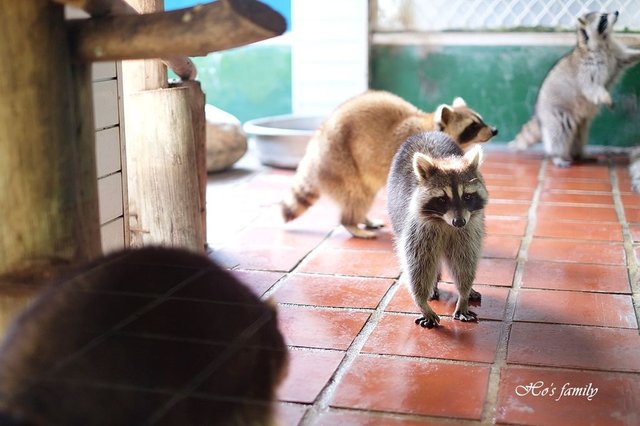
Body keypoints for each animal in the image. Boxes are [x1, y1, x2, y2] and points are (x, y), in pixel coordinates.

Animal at [282, 89, 500, 240]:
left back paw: (362, 219)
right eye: (473, 126)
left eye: (481, 120)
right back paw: (351, 223)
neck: (432, 125)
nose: (495, 130)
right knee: (357, 195)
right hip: (341, 162)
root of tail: (317, 142)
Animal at [388, 131, 488, 328]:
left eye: (467, 196)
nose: (459, 222)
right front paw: (421, 302)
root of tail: (427, 132)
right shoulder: (417, 228)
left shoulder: (468, 231)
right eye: (442, 199)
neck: (445, 223)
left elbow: (465, 260)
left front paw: (464, 294)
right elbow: (417, 263)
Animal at [512, 11, 640, 168]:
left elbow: (627, 57)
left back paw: (580, 154)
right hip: (556, 114)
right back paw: (557, 156)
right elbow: (591, 88)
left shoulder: (615, 53)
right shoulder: (587, 69)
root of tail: (539, 114)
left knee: (579, 138)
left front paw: (638, 53)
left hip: (580, 123)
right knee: (560, 135)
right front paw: (606, 97)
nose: (616, 12)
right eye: (603, 17)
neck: (603, 41)